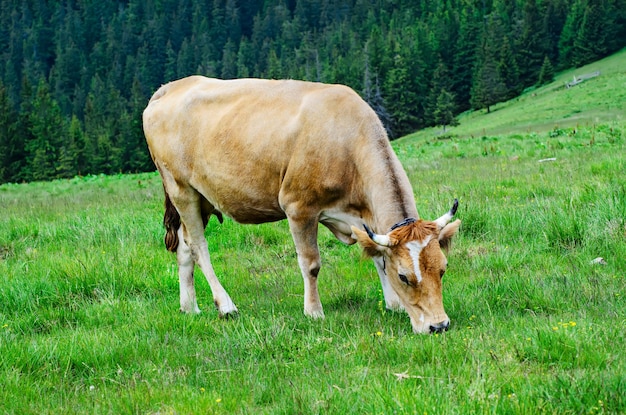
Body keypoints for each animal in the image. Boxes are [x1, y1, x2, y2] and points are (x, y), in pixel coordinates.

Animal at [144, 75, 460, 334]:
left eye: (443, 269)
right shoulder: (298, 207)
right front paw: (314, 311)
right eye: (405, 277)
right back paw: (226, 305)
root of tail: (169, 87)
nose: (439, 326)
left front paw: (392, 304)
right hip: (181, 188)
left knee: (184, 246)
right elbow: (311, 264)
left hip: (203, 197)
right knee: (199, 246)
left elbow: (377, 256)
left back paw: (190, 307)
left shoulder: (364, 220)